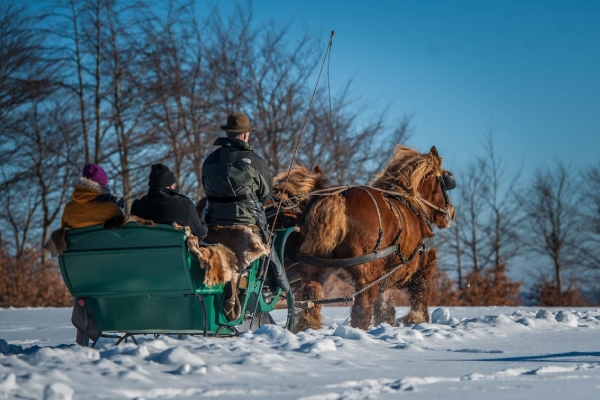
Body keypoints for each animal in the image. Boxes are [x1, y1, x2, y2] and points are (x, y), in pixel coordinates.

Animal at [296, 145, 454, 330]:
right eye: (445, 181)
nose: (451, 213)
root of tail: (337, 197)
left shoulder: (384, 282)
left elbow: (384, 308)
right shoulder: (424, 269)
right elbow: (420, 297)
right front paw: (416, 320)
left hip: (313, 269)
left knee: (310, 300)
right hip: (368, 274)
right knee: (362, 309)